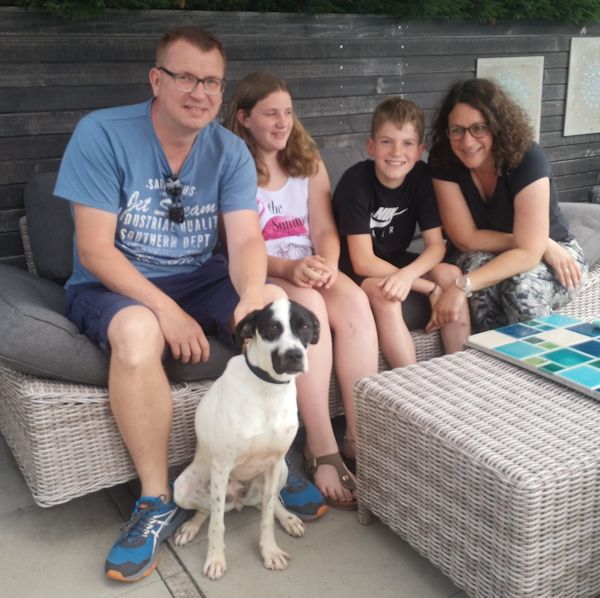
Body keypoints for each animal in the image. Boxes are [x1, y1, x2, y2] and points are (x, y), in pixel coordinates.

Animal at [173, 298, 320, 580]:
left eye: (305, 327)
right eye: (273, 328)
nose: (294, 355)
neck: (268, 390)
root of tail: (239, 501)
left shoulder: (274, 463)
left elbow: (267, 516)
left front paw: (270, 551)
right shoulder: (222, 467)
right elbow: (216, 524)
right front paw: (215, 559)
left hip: (282, 470)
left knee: (265, 504)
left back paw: (288, 518)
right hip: (183, 486)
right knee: (207, 509)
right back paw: (190, 527)